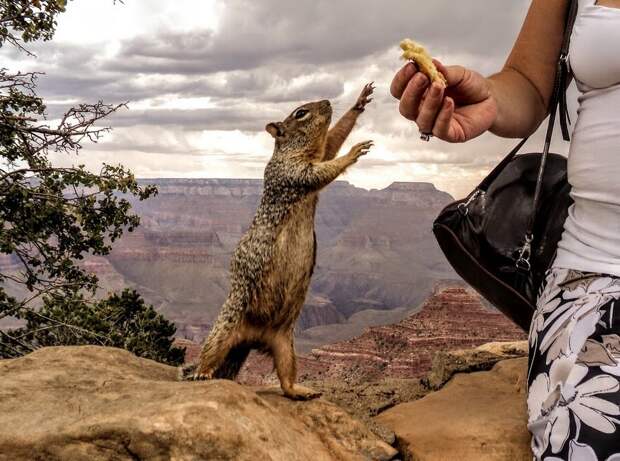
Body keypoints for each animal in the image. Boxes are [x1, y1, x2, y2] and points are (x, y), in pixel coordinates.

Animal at [179, 82, 372, 398]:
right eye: (300, 113)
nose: (328, 101)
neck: (296, 151)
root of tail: (252, 338)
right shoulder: (294, 173)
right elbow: (323, 171)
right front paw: (355, 151)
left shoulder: (319, 154)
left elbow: (333, 141)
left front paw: (360, 102)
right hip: (225, 327)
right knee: (210, 351)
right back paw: (202, 373)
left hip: (286, 344)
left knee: (285, 377)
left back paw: (300, 390)